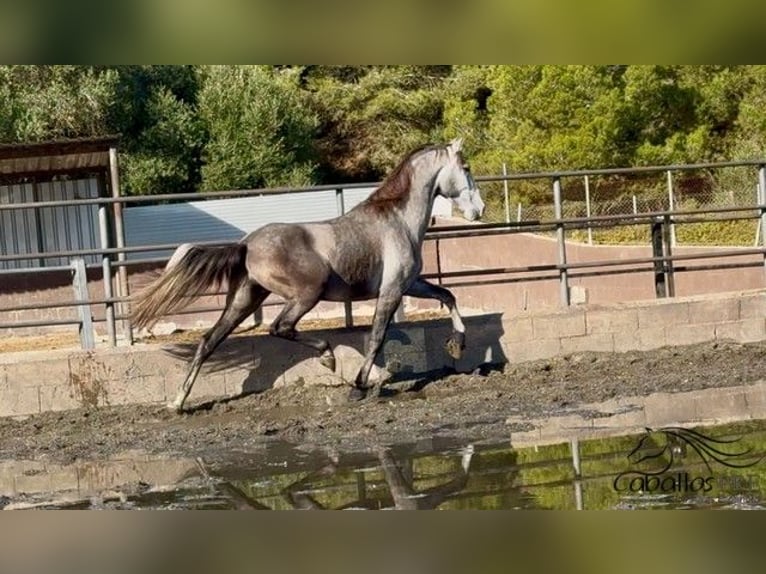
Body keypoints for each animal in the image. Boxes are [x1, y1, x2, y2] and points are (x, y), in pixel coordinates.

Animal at [130, 138, 485, 413]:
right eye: (466, 168)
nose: (479, 210)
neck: (397, 220)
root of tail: (247, 244)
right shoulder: (392, 290)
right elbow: (376, 338)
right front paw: (357, 387)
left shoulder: (411, 284)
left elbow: (448, 295)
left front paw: (457, 345)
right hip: (306, 294)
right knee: (279, 327)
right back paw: (327, 357)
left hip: (246, 299)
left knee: (209, 342)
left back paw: (178, 403)